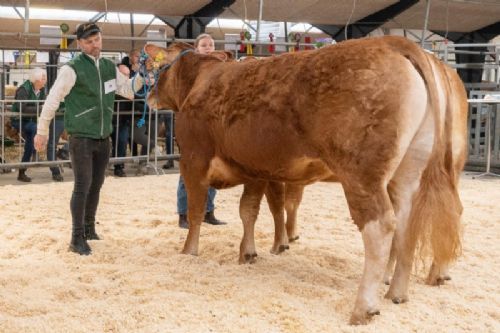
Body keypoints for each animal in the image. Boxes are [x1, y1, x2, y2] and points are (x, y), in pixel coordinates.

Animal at [145, 35, 464, 322]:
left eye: (158, 66)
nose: (148, 97)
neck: (201, 81)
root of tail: (394, 42)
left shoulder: (193, 160)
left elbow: (197, 211)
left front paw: (188, 252)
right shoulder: (255, 168)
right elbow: (249, 210)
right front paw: (248, 253)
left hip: (363, 174)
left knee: (382, 226)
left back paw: (364, 307)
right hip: (408, 173)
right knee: (409, 225)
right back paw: (397, 292)